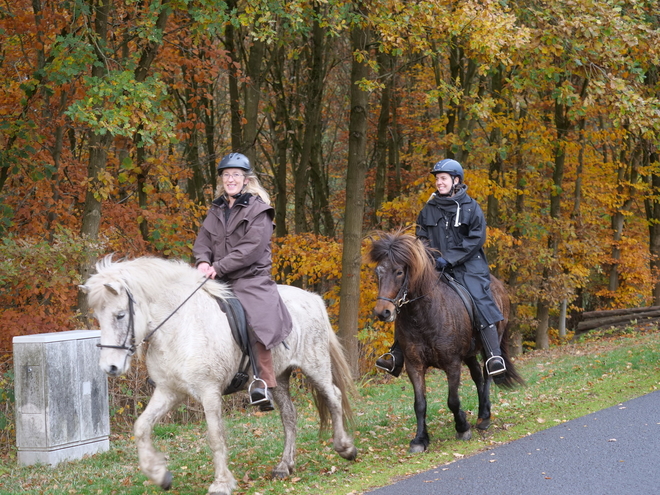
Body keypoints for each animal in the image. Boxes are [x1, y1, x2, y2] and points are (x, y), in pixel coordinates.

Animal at [80, 256, 358, 495]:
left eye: (120, 315)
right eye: (99, 317)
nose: (110, 367)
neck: (180, 327)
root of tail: (312, 298)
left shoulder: (209, 392)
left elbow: (215, 437)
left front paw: (222, 483)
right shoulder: (169, 392)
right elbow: (141, 427)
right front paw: (159, 474)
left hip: (315, 365)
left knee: (333, 396)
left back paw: (345, 448)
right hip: (277, 378)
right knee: (289, 416)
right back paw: (284, 466)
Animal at [368, 232, 524, 454]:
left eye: (399, 272)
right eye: (378, 271)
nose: (383, 312)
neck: (423, 315)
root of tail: (498, 285)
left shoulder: (452, 363)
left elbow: (453, 400)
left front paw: (462, 427)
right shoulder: (414, 365)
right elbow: (420, 404)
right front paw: (420, 439)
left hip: (488, 346)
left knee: (487, 376)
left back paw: (484, 417)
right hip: (469, 353)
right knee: (477, 376)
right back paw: (480, 415)